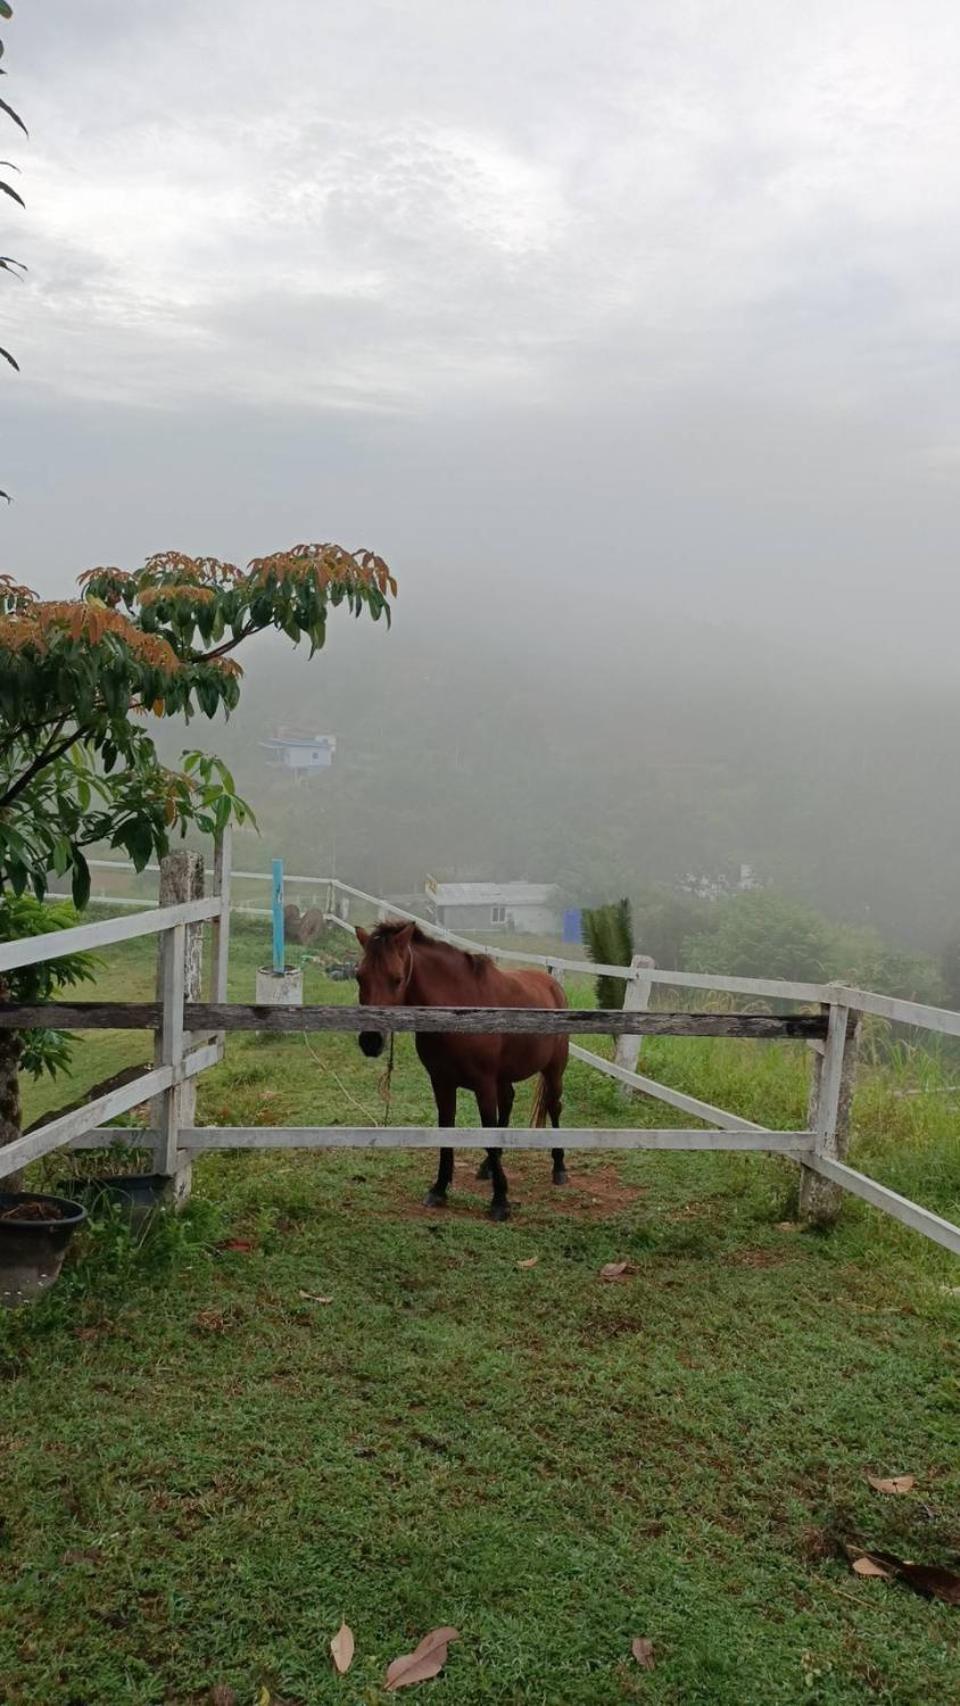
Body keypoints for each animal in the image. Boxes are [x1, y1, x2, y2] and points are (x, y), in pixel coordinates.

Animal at [358, 928, 569, 1221]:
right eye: (359, 976)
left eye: (397, 978)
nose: (370, 1040)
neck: (459, 1010)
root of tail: (552, 984)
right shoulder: (442, 1083)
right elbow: (447, 1131)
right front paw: (439, 1189)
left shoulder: (483, 1085)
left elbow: (488, 1132)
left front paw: (500, 1201)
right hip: (503, 1078)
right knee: (508, 1102)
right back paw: (489, 1166)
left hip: (554, 1070)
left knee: (553, 1106)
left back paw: (559, 1167)